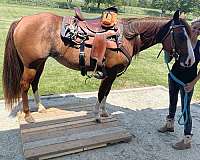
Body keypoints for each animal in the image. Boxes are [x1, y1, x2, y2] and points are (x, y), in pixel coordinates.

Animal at [2, 10, 195, 122]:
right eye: (181, 36)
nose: (191, 61)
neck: (128, 36)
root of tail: (22, 20)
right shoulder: (110, 73)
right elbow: (102, 92)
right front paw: (98, 115)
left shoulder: (110, 74)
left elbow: (105, 93)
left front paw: (102, 112)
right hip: (31, 65)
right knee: (24, 85)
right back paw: (28, 115)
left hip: (39, 64)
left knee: (34, 83)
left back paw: (41, 108)